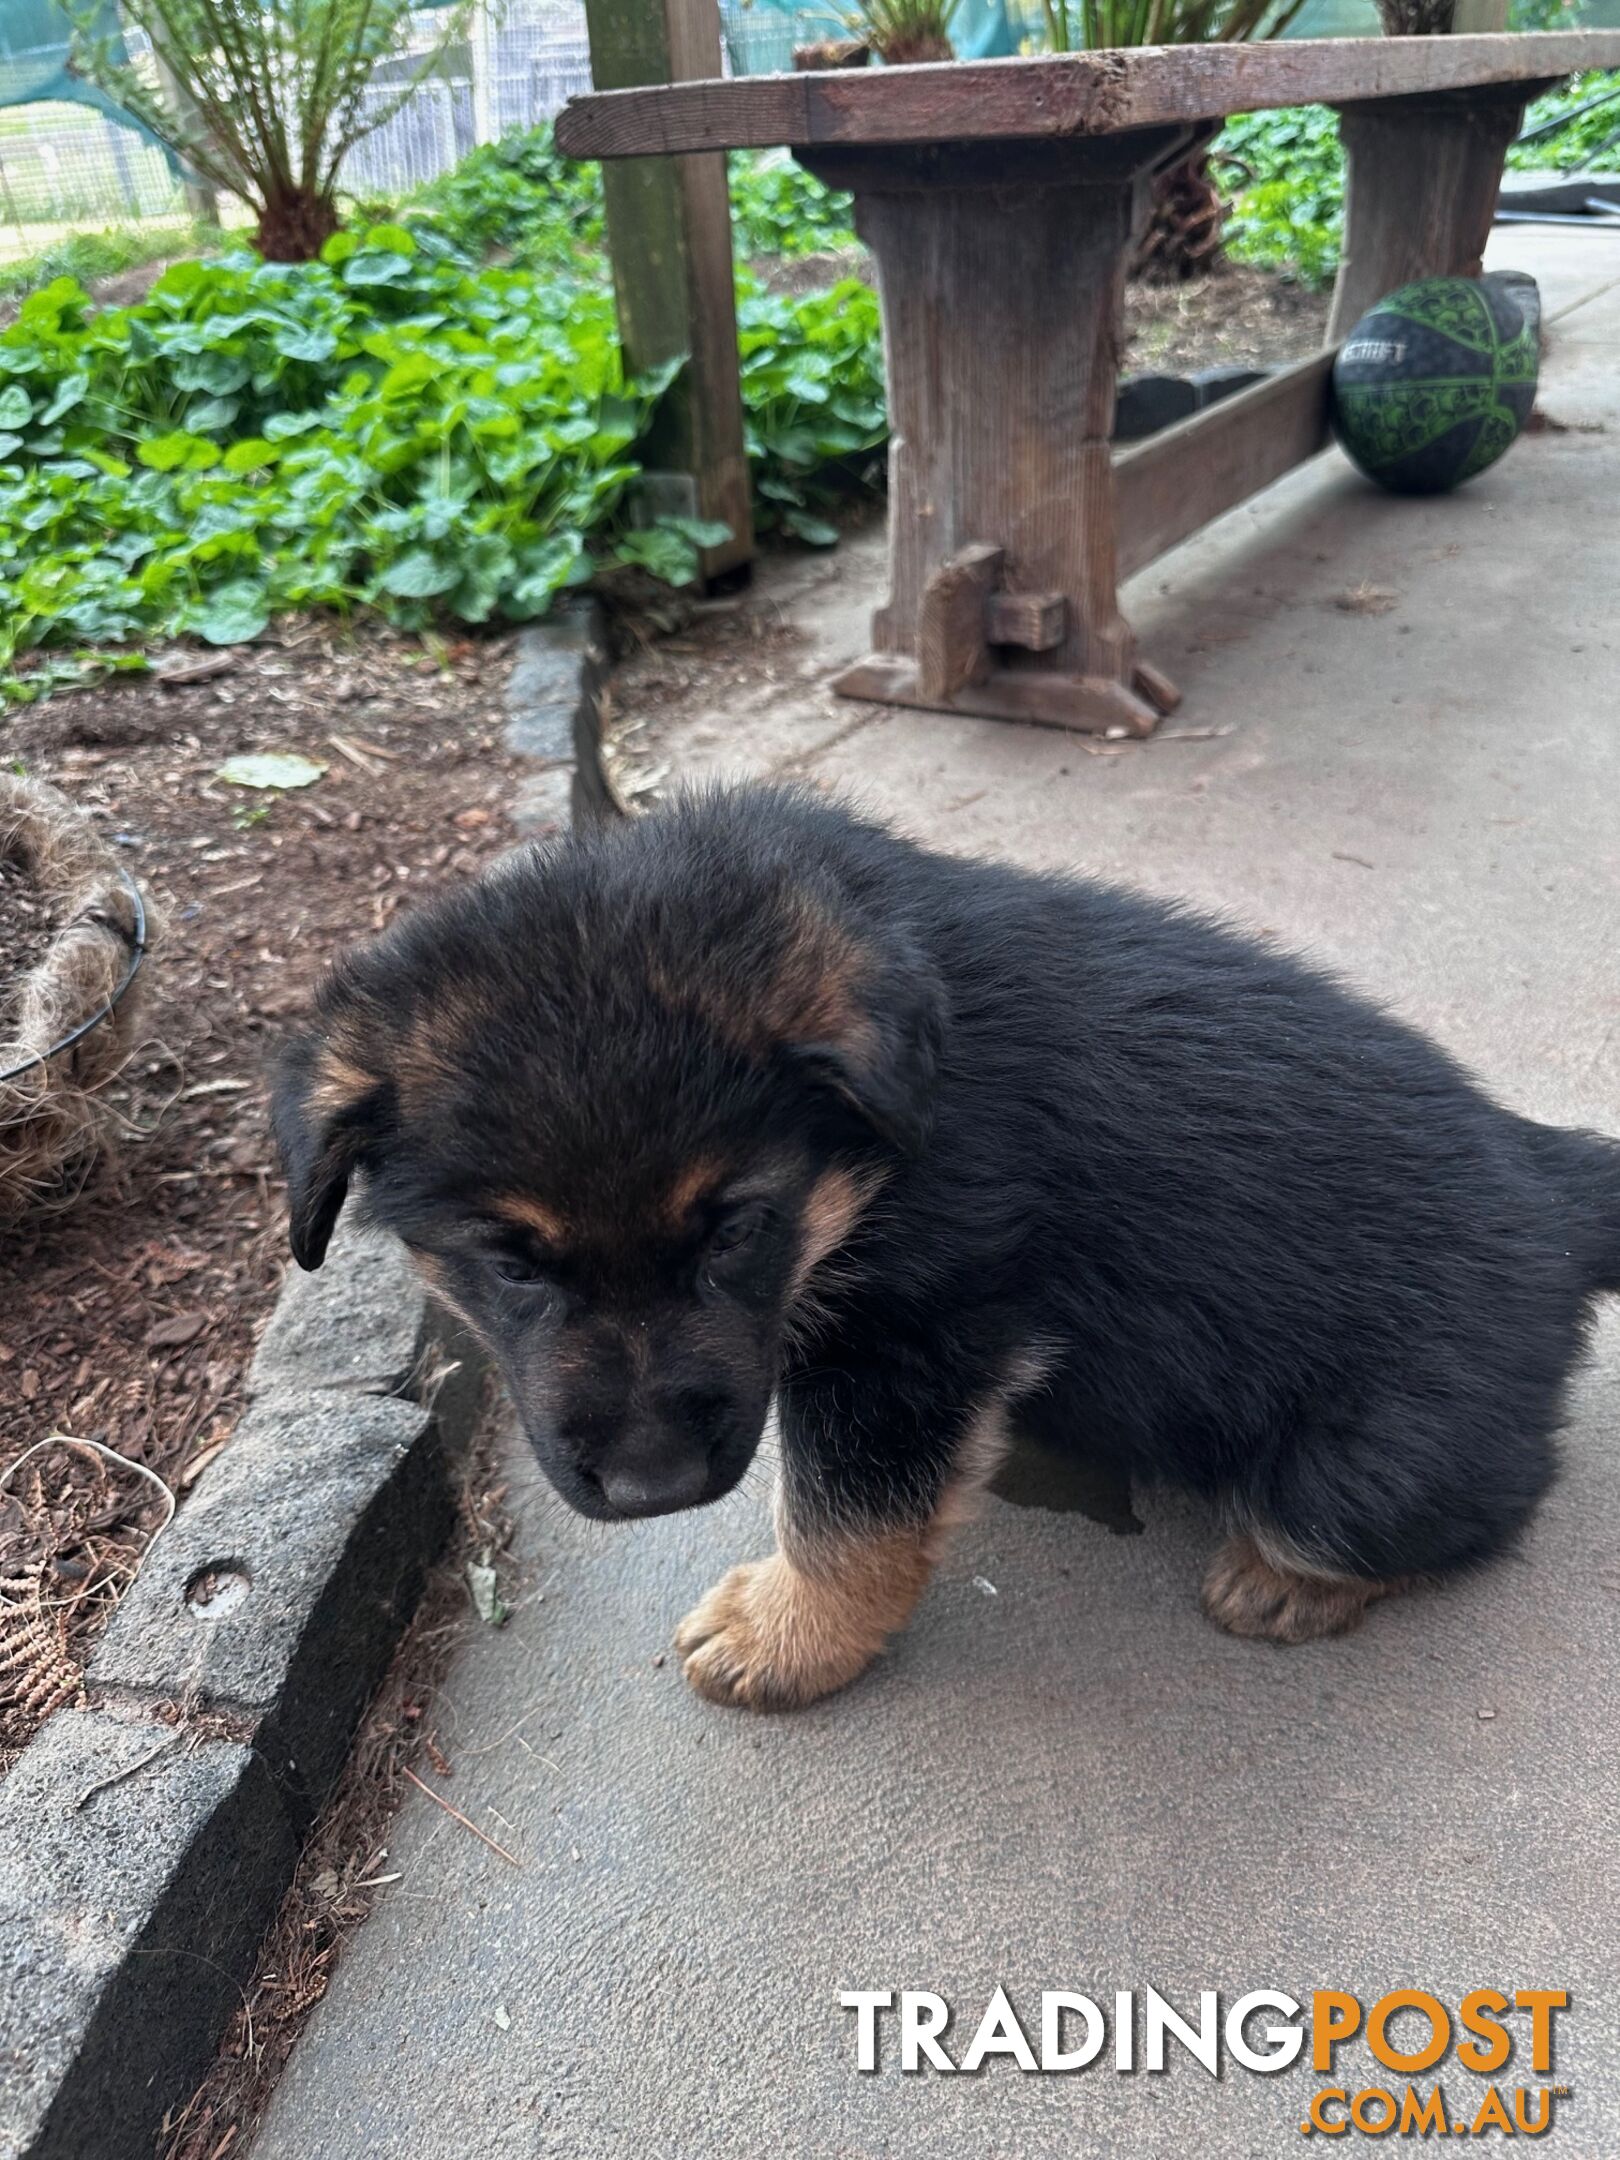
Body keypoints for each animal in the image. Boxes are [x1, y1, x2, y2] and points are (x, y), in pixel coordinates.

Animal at [270, 786, 1620, 1710]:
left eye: (738, 1230)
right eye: (511, 1265)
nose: (654, 1488)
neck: (880, 1147)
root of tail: (1552, 1185)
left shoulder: (910, 1337)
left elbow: (841, 1516)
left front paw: (788, 1636)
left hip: (1369, 1458)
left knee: (1474, 1507)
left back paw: (1293, 1575)